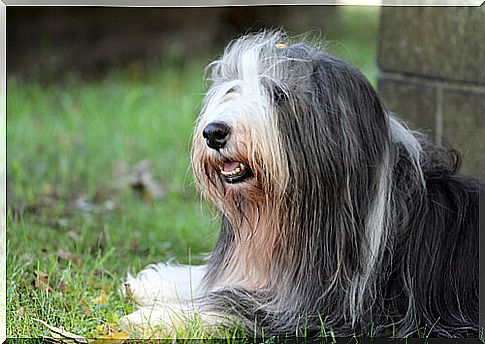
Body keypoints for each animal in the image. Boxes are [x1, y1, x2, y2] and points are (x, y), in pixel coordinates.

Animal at [120, 31, 476, 338]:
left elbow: (232, 302)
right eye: (231, 91)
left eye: (278, 95)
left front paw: (156, 316)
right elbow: (217, 280)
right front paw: (156, 282)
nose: (214, 132)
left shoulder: (317, 308)